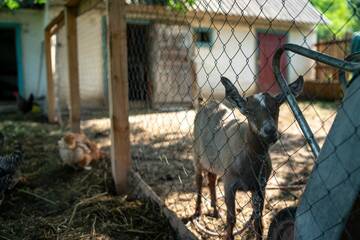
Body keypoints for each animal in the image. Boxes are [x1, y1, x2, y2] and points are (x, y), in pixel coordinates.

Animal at [193, 76, 302, 239]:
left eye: (276, 107)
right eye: (249, 111)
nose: (270, 131)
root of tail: (204, 104)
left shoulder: (260, 187)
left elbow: (258, 222)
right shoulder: (229, 183)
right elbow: (231, 219)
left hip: (213, 161)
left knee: (211, 178)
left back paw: (216, 211)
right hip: (197, 154)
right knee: (199, 179)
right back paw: (197, 212)